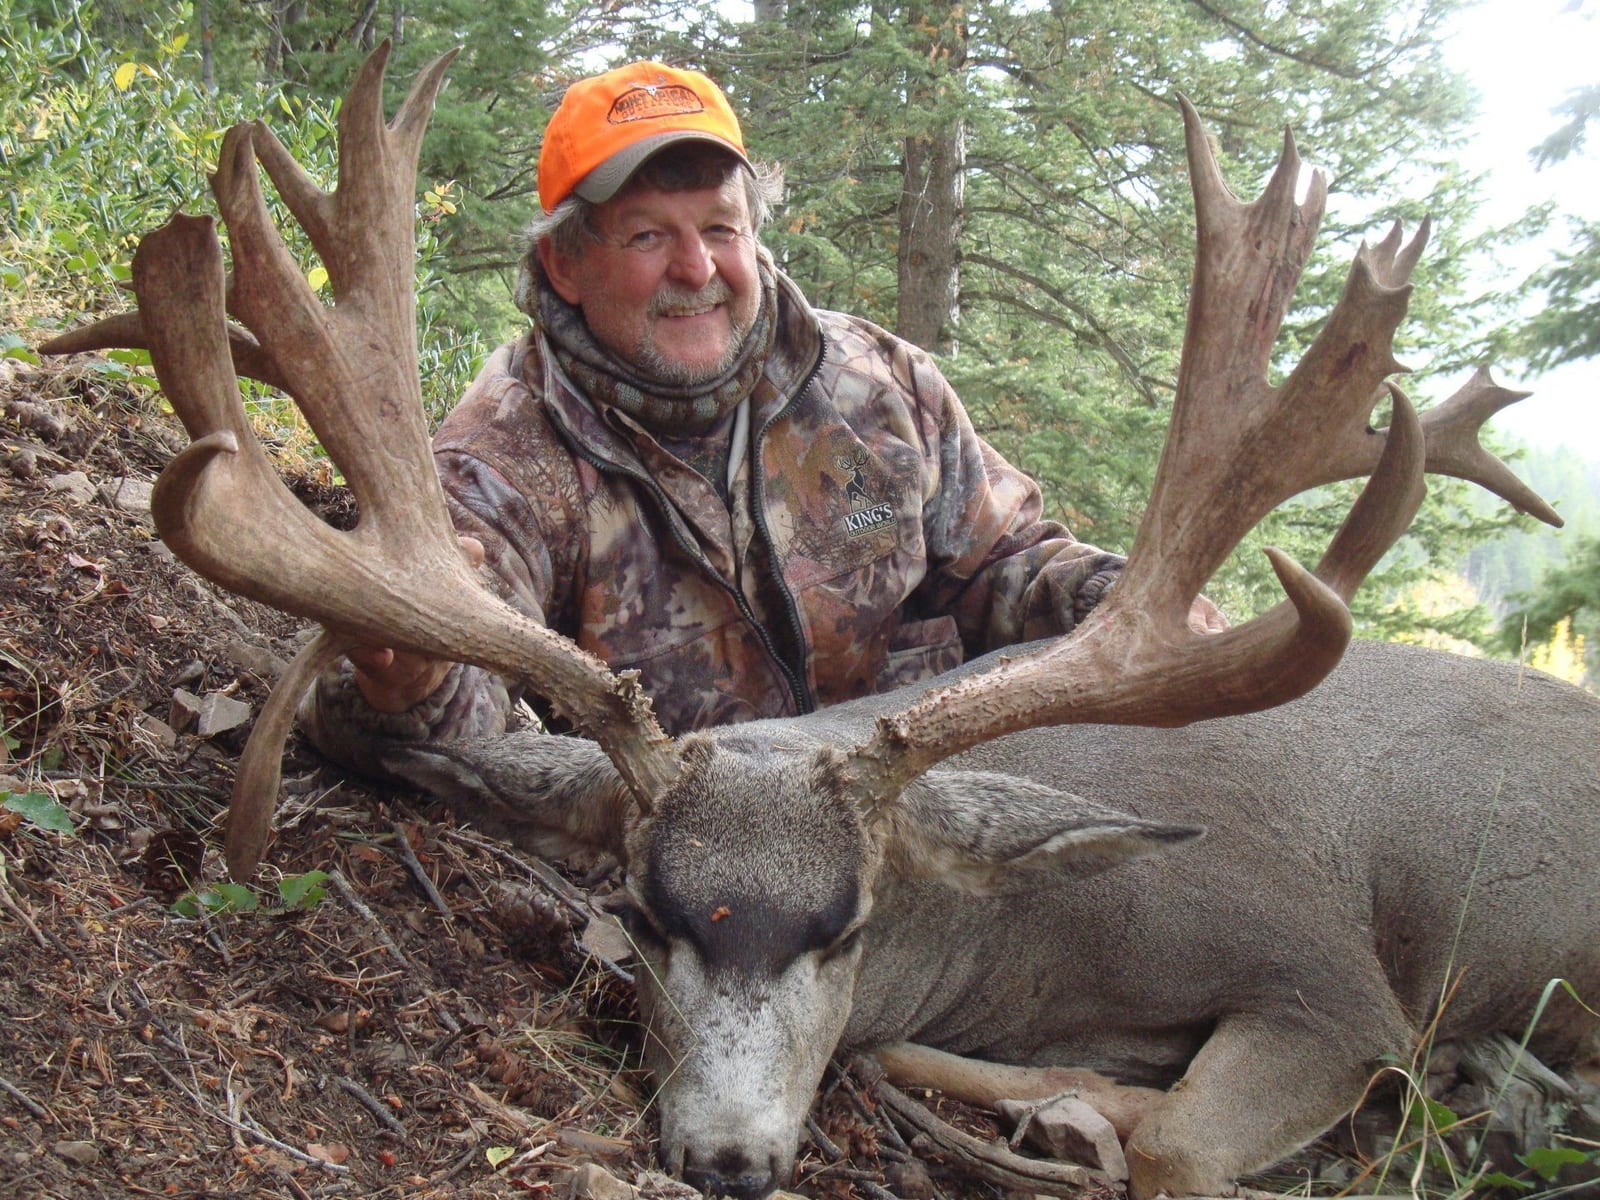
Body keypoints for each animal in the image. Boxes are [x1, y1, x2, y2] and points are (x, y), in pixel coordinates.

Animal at [43, 44, 1598, 1200]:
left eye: (845, 929)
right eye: (643, 912)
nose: (725, 1155)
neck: (1044, 940)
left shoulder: (1325, 973)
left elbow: (1175, 1140)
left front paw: (1074, 1110)